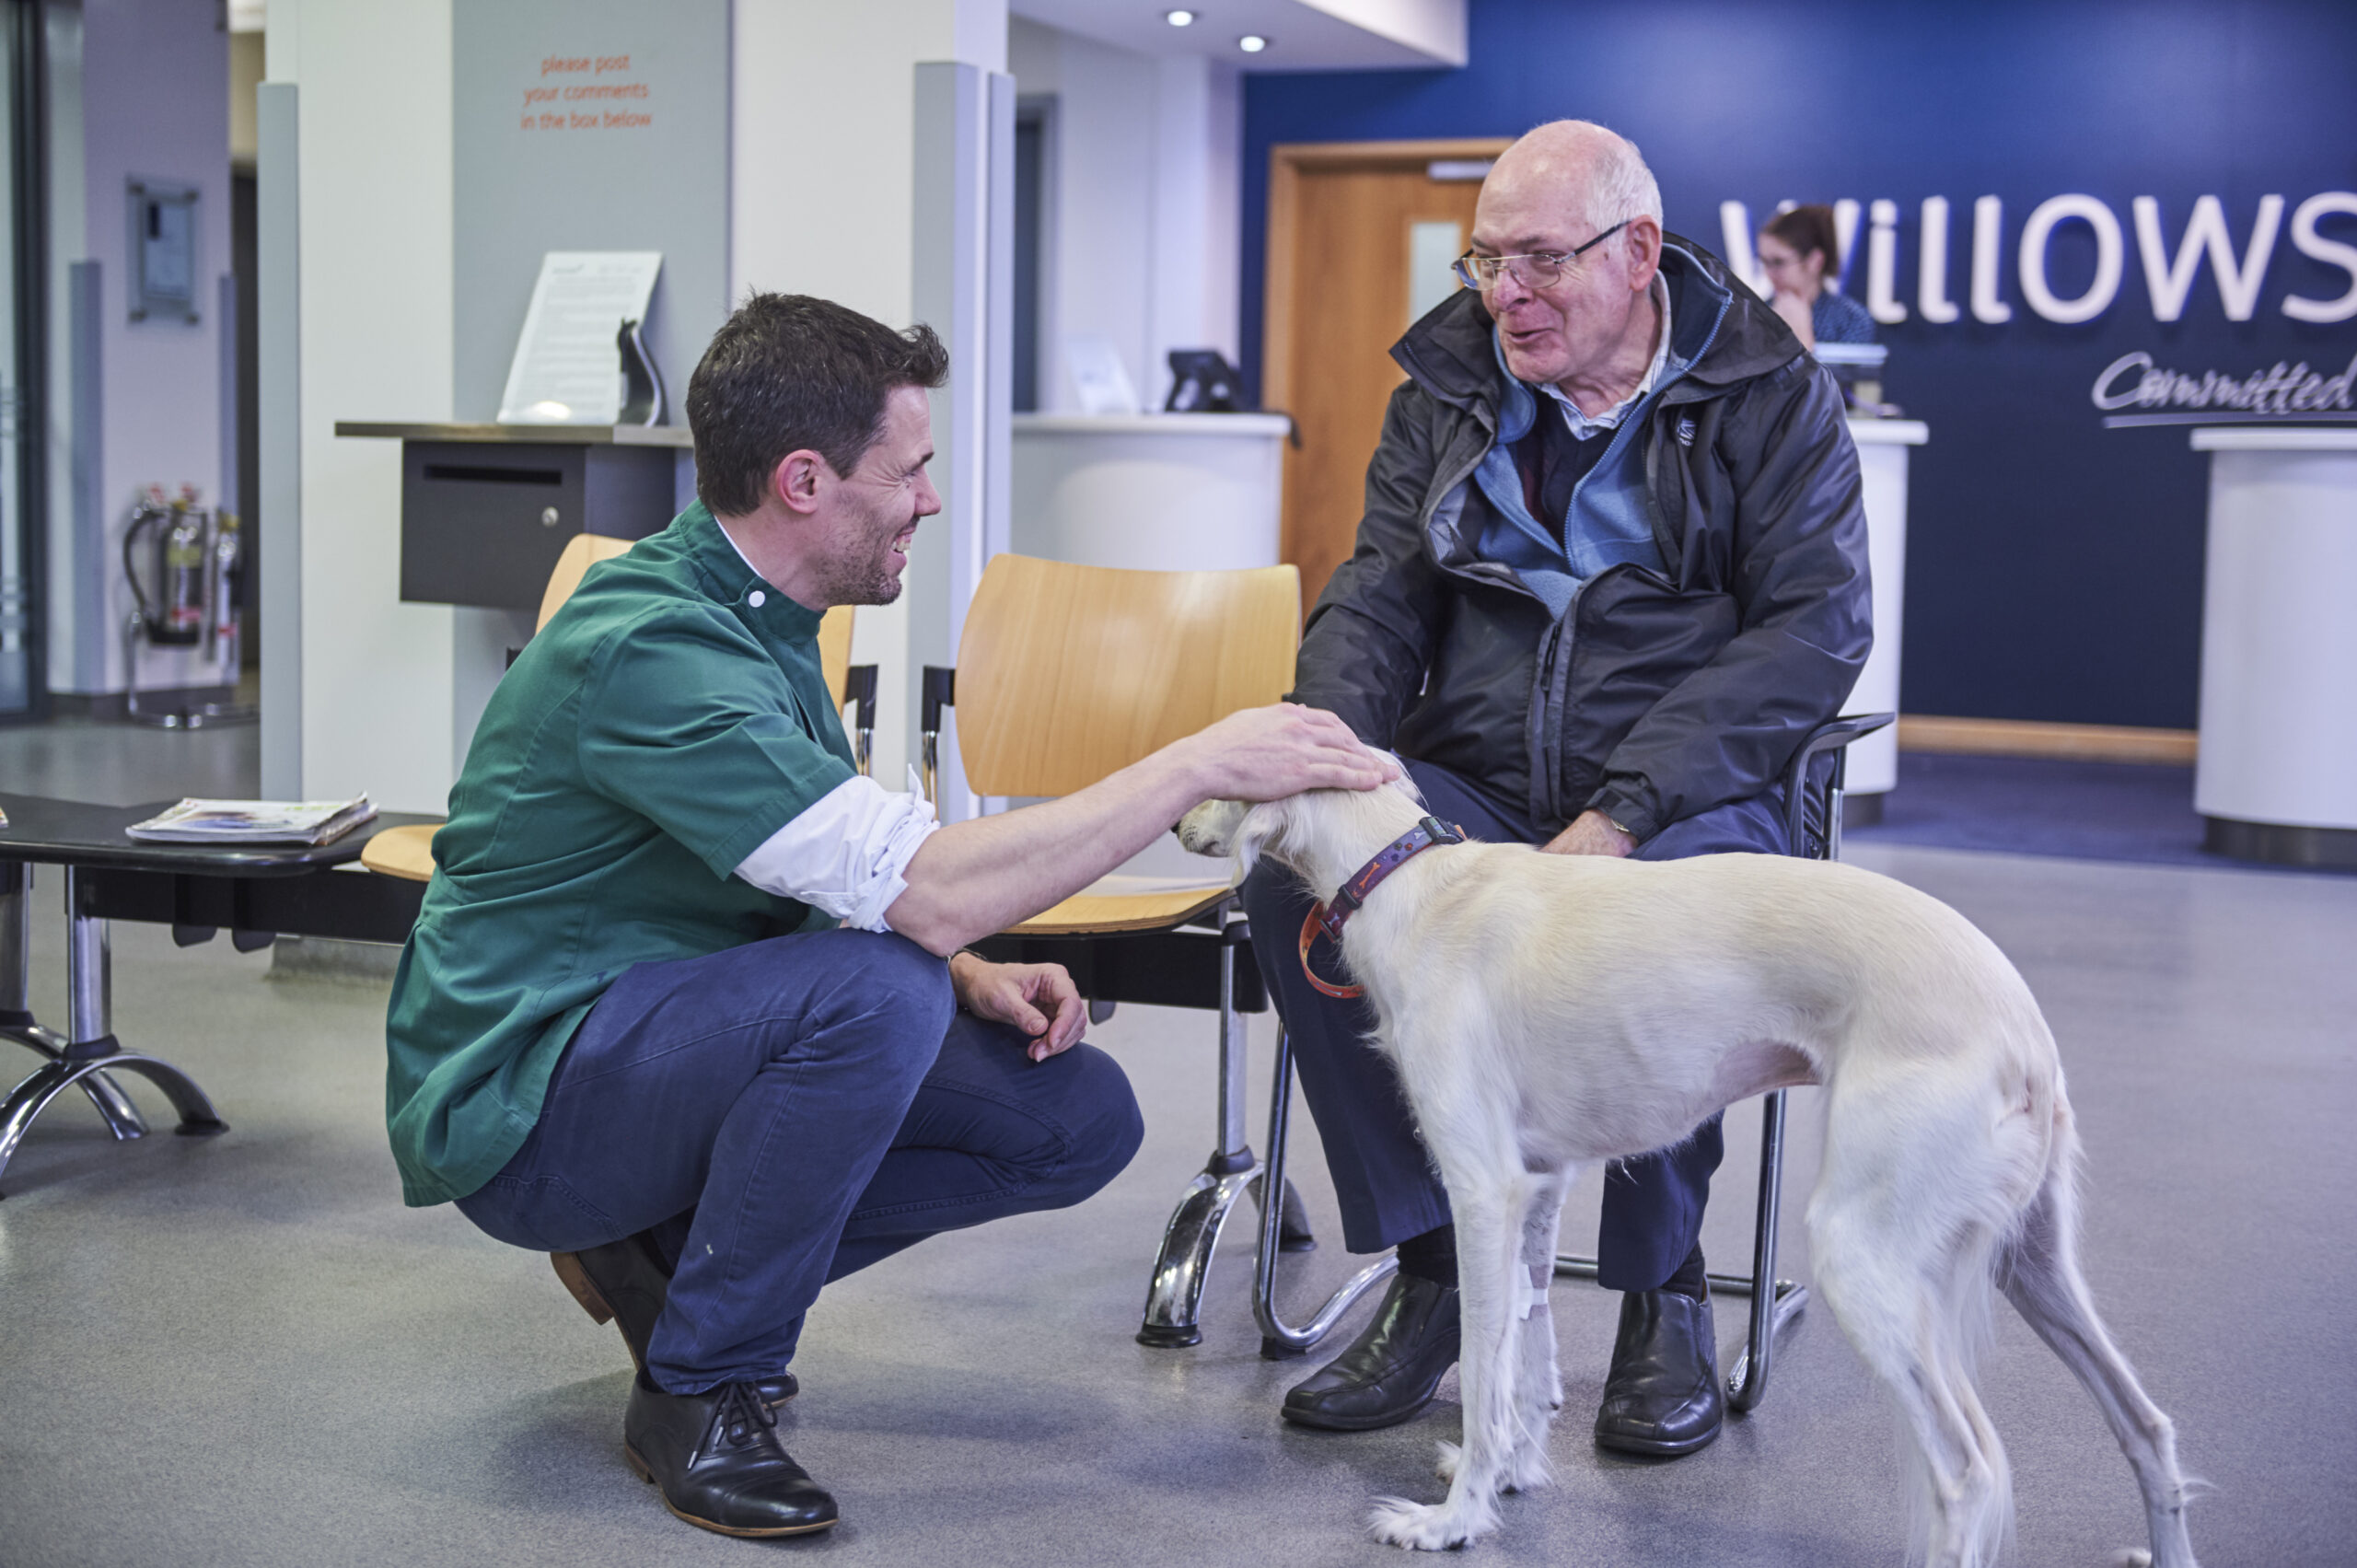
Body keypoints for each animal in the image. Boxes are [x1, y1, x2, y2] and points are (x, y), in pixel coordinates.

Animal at [1188, 778, 2196, 1565]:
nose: (1178, 820)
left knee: (1970, 1473)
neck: (1419, 882)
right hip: (2034, 1262)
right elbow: (1527, 1347)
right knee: (2147, 1426)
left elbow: (1482, 1367)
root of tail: (2022, 1022)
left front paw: (1452, 1520)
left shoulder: (1481, 1189)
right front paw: (1513, 1473)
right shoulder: (1538, 1184)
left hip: (1860, 1254)